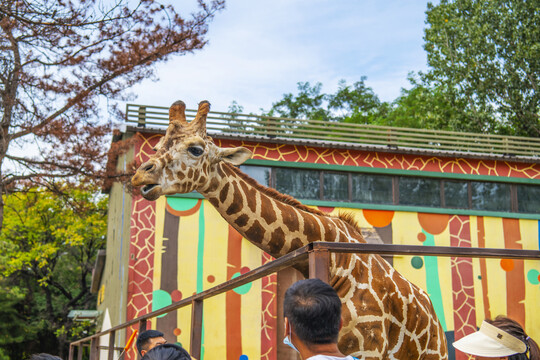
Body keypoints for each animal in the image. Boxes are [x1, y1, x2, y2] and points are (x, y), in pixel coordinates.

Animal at [133, 100, 450, 358]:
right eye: (157, 148)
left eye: (196, 149)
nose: (139, 176)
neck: (335, 261)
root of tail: (435, 316)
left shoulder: (368, 348)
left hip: (433, 355)